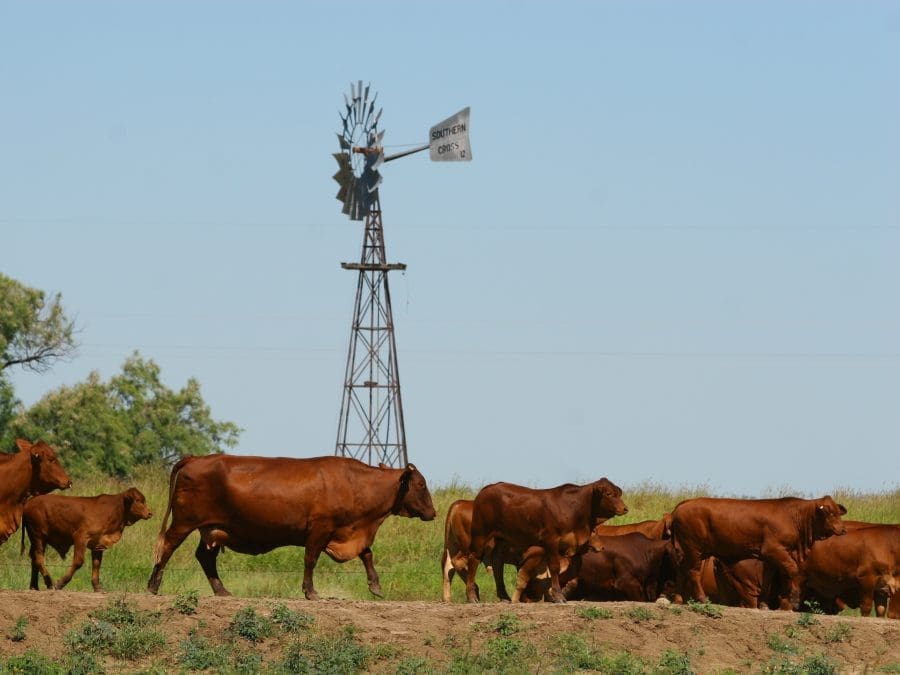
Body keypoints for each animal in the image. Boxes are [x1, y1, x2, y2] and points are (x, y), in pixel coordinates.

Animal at [22, 486, 152, 592]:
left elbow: (96, 564)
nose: (149, 513)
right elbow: (78, 562)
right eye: (138, 500)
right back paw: (49, 583)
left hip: (35, 539)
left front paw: (97, 587)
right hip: (39, 537)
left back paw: (34, 586)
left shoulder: (97, 544)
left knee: (34, 559)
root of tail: (30, 502)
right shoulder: (80, 537)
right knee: (39, 559)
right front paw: (60, 583)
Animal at [148, 456, 436, 600]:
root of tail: (195, 458)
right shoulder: (320, 529)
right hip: (184, 522)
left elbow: (366, 554)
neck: (355, 483)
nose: (433, 513)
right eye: (421, 484)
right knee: (167, 547)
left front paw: (375, 586)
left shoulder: (348, 531)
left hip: (212, 529)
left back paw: (221, 590)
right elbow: (310, 559)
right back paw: (153, 585)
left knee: (205, 557)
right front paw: (310, 591)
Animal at [464, 478, 624, 604]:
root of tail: (488, 488)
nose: (625, 508)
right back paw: (472, 597)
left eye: (618, 493)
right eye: (609, 494)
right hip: (481, 533)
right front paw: (558, 596)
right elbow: (554, 567)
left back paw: (504, 596)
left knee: (497, 563)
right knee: (474, 558)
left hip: (503, 538)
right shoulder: (551, 541)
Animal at [672, 496, 848, 612]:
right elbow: (792, 570)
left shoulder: (769, 559)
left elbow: (767, 581)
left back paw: (678, 599)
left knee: (681, 571)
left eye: (838, 513)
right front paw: (792, 600)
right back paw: (702, 599)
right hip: (694, 549)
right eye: (830, 513)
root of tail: (684, 503)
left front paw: (764, 605)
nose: (843, 529)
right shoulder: (773, 550)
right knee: (693, 572)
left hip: (685, 551)